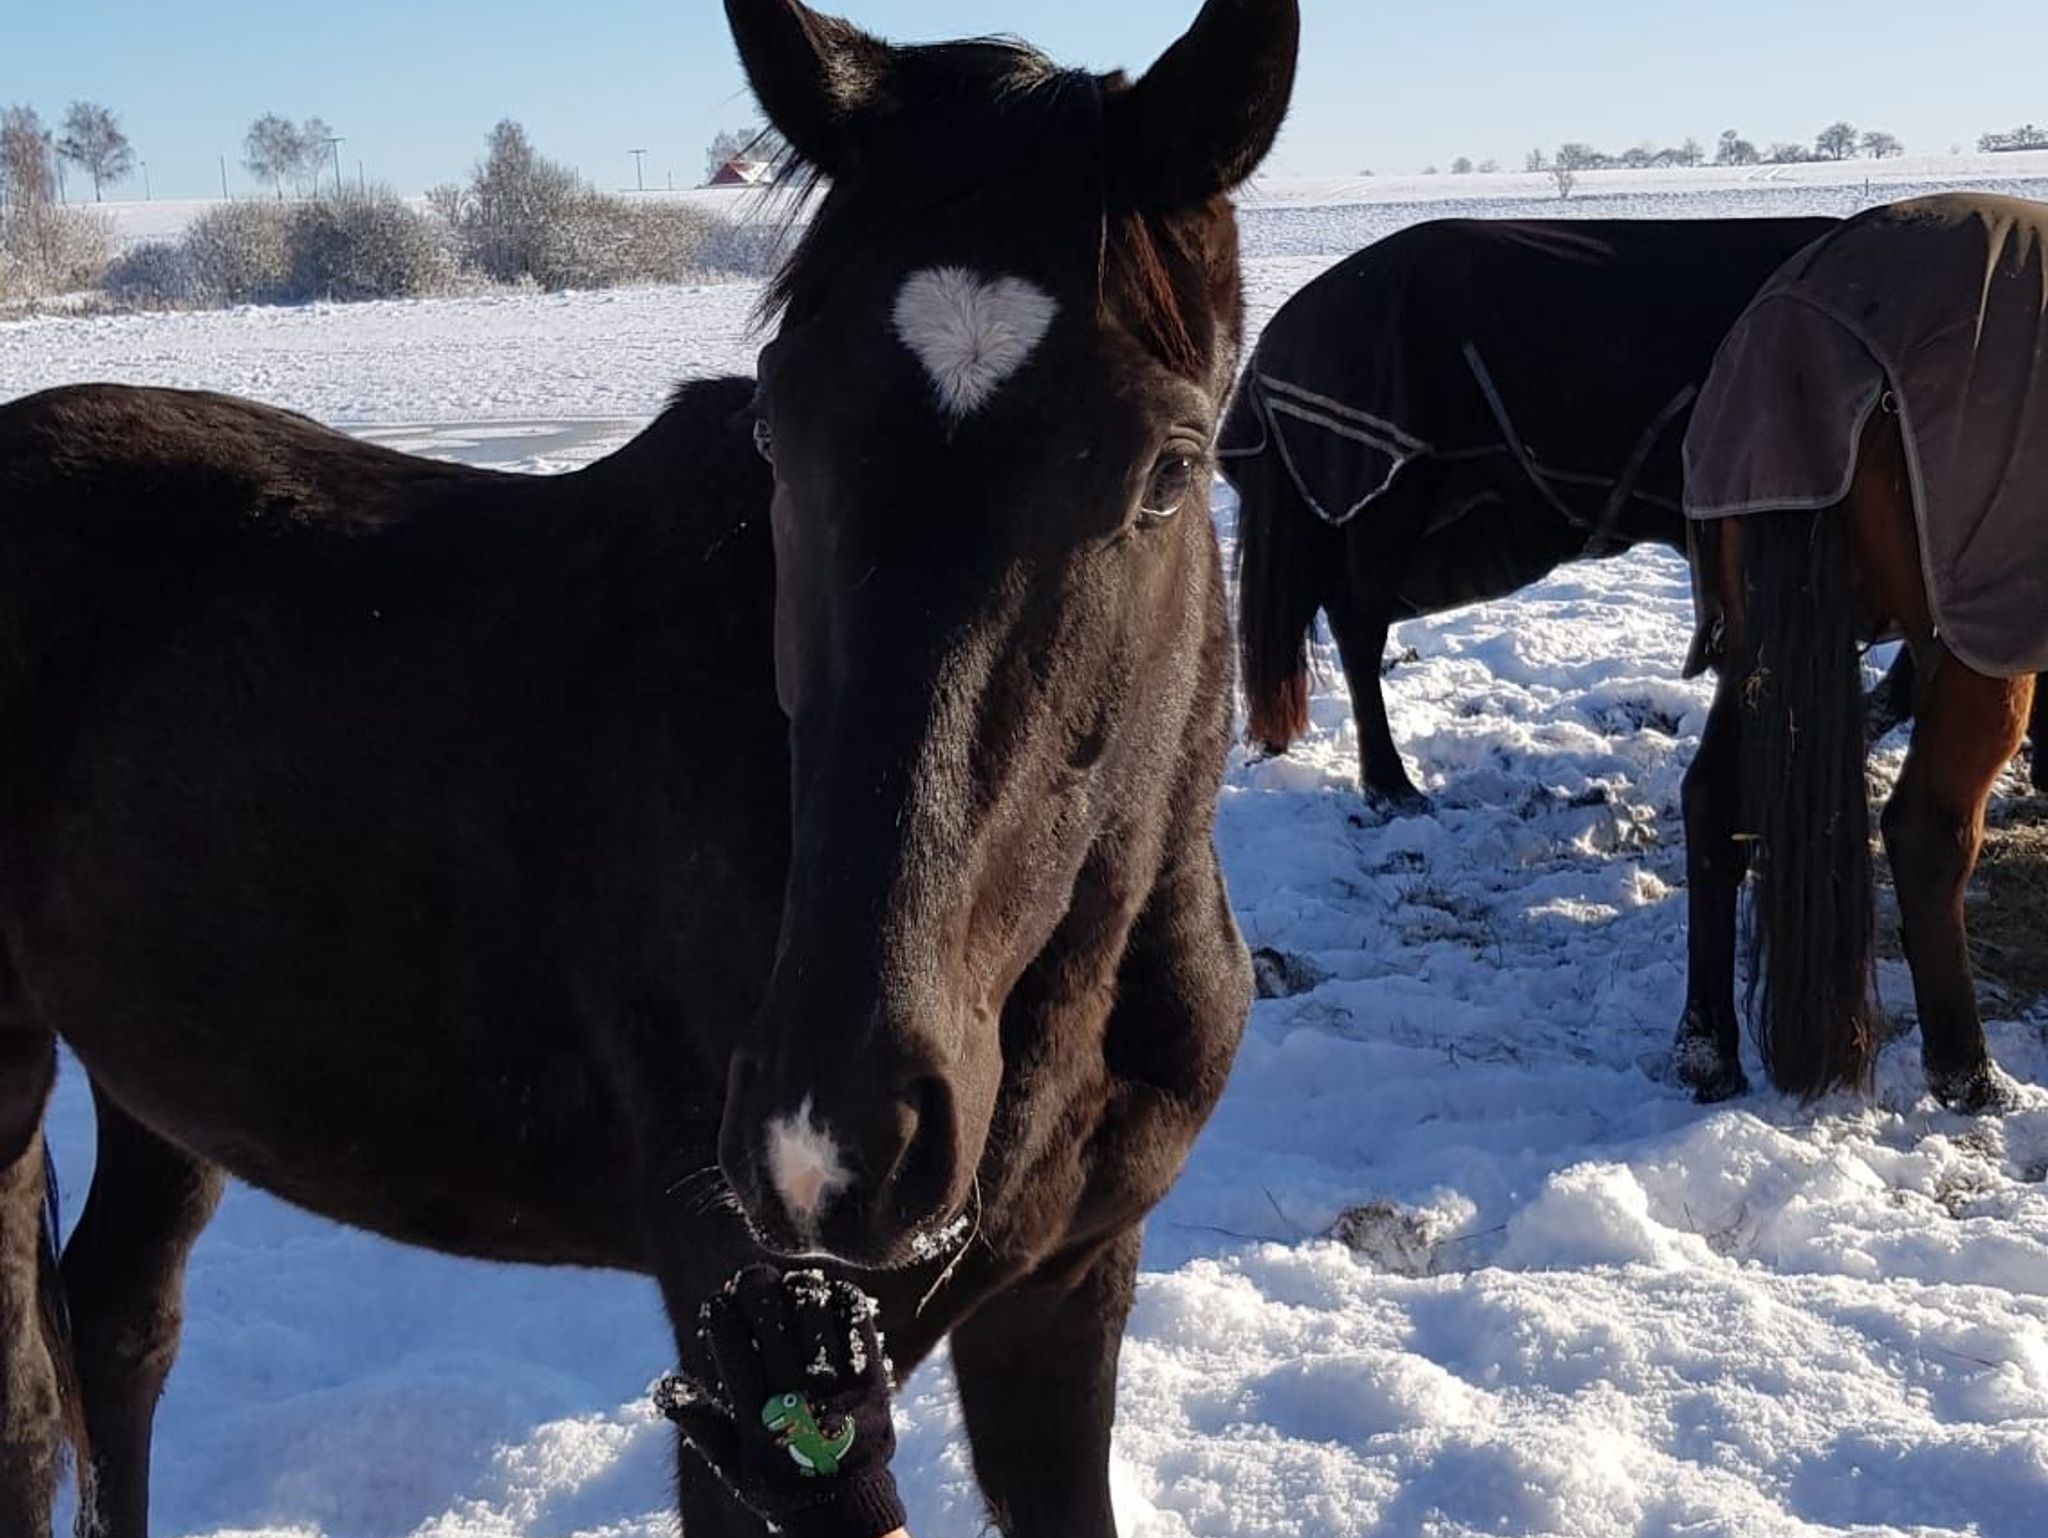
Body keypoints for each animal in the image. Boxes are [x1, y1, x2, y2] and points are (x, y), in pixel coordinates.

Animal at [0, 6, 1302, 1531]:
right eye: (779, 430)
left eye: (1168, 468)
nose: (832, 1134)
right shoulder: (760, 1376)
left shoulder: (1066, 1293)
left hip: (160, 1074)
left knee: (120, 1325)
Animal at [1671, 195, 2039, 1105]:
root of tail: (1799, 338)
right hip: (1979, 652)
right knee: (1925, 834)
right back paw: (1968, 1073)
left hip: (1755, 643)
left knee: (1713, 801)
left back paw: (1708, 1049)